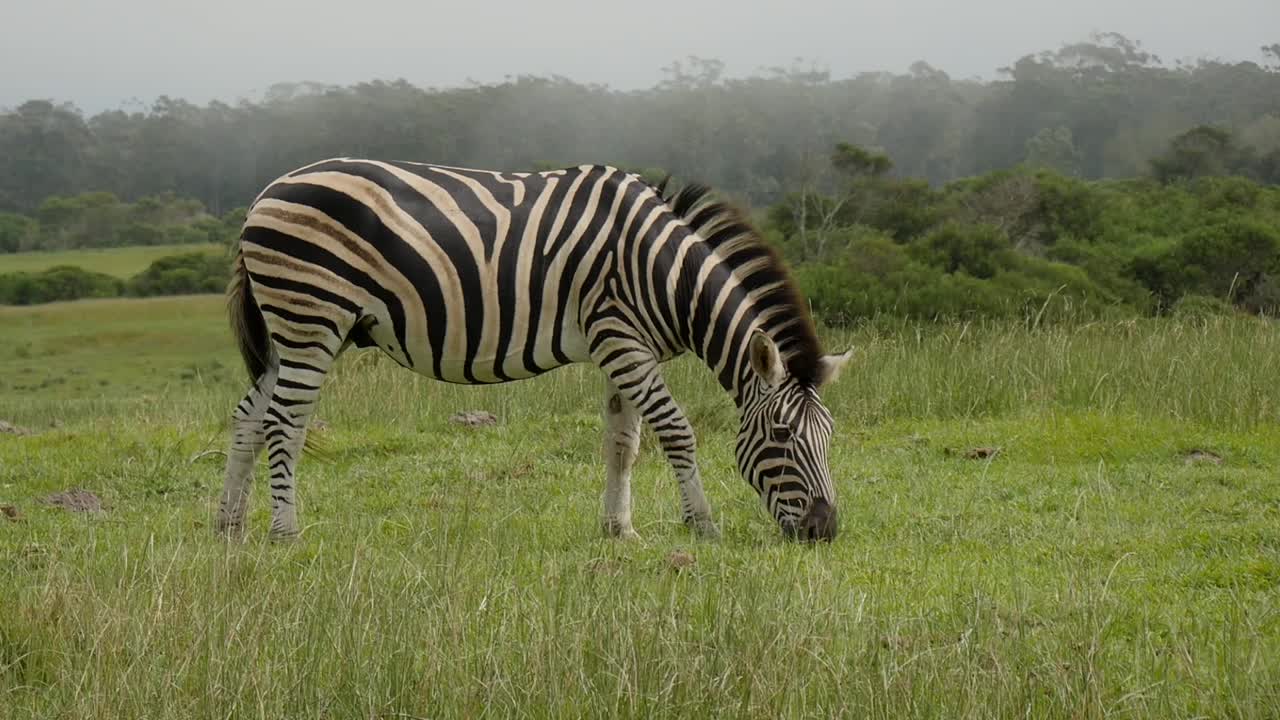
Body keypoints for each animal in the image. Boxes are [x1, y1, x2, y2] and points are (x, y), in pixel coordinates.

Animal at [216, 158, 852, 543]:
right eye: (782, 437)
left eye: (830, 438)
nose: (824, 531)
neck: (661, 273)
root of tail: (265, 194)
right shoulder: (621, 339)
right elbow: (676, 431)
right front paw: (703, 525)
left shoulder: (623, 346)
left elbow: (623, 443)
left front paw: (619, 530)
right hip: (312, 319)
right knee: (285, 422)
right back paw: (285, 532)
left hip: (292, 329)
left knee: (249, 416)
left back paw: (229, 527)